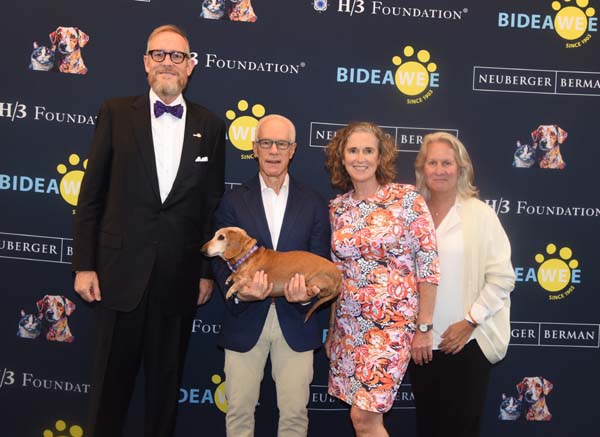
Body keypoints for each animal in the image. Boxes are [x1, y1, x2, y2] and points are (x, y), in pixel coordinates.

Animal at [202, 227, 340, 318]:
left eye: (221, 237)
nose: (202, 250)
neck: (248, 257)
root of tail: (339, 276)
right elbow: (235, 276)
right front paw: (231, 277)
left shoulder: (252, 279)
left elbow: (241, 281)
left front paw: (231, 289)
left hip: (316, 280)